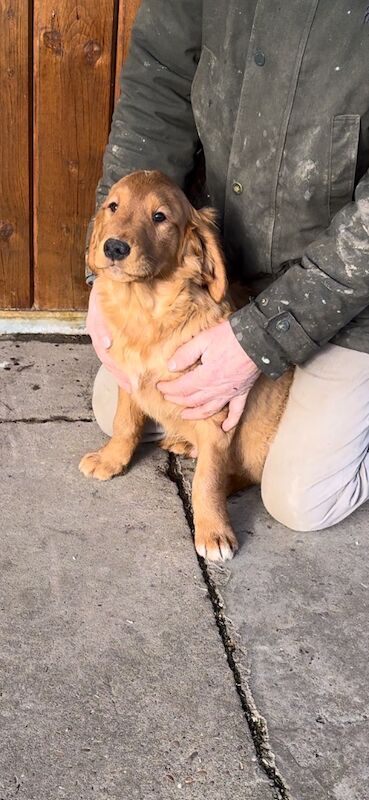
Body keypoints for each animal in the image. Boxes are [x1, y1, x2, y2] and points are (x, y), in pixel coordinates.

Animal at [80, 172, 290, 564]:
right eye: (113, 206)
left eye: (159, 217)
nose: (114, 248)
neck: (145, 310)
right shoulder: (128, 380)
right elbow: (124, 423)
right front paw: (112, 459)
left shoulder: (216, 408)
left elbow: (207, 478)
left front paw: (213, 531)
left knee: (246, 474)